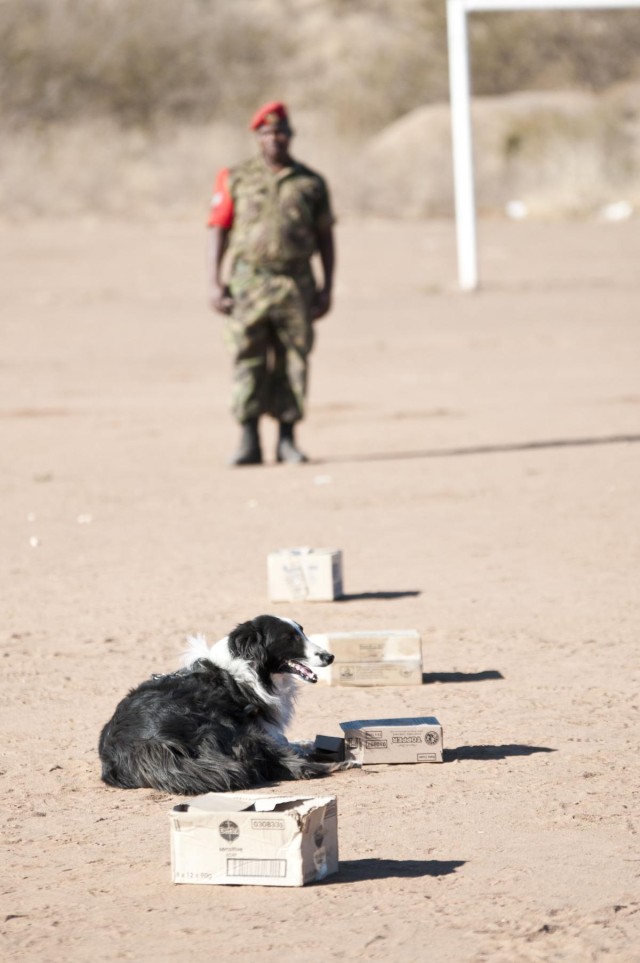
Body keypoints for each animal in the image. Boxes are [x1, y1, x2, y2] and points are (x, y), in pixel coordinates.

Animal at [97, 616, 344, 800]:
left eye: (302, 631)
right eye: (289, 638)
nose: (330, 656)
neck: (245, 667)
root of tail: (144, 745)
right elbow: (288, 743)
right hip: (228, 730)